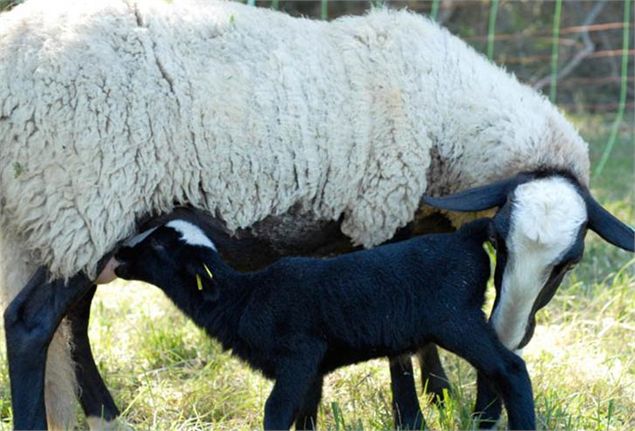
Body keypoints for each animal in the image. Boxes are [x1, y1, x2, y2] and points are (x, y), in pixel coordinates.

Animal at [112, 216, 536, 431]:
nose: (119, 252)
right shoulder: (313, 369)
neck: (243, 298)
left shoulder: (300, 353)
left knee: (510, 369)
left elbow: (277, 410)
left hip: (455, 318)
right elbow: (306, 415)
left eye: (161, 245)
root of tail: (465, 236)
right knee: (494, 371)